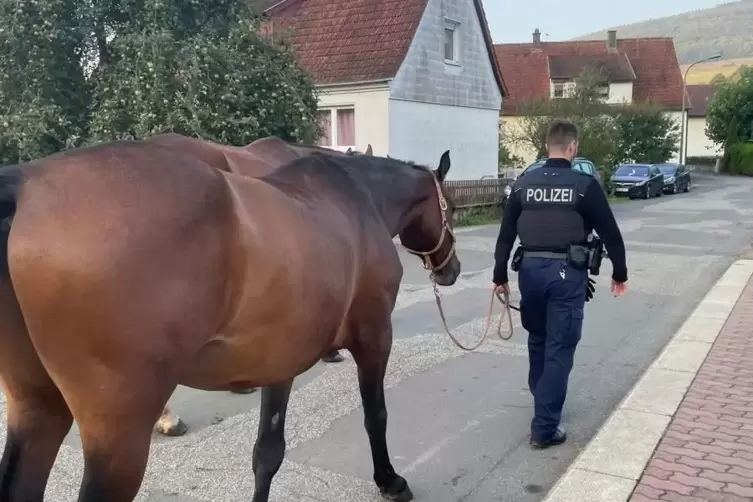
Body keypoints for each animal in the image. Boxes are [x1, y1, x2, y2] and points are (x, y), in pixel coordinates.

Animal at [0, 138, 458, 502]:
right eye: (449, 207)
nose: (450, 270)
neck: (357, 200)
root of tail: (23, 185)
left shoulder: (281, 360)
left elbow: (268, 452)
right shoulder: (376, 336)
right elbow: (375, 414)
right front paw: (389, 481)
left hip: (38, 409)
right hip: (116, 436)